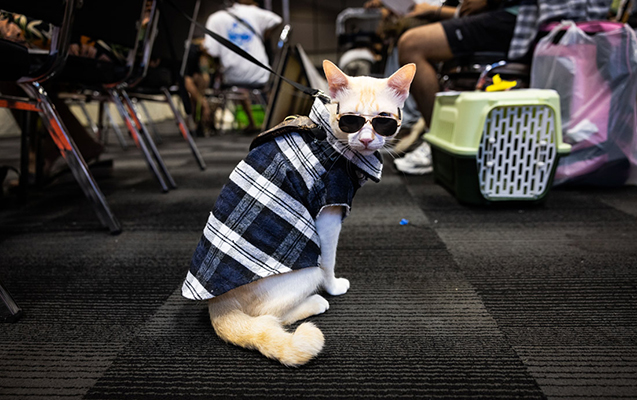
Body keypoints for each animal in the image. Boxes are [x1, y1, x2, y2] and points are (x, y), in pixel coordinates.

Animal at [182, 60, 416, 366]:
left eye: (383, 120)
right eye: (350, 120)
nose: (366, 139)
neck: (327, 138)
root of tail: (217, 304)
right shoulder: (327, 218)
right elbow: (329, 262)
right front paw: (334, 287)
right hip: (307, 270)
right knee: (270, 316)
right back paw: (316, 301)